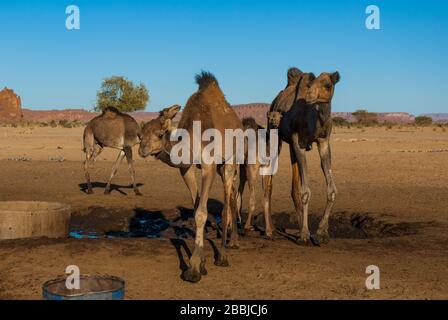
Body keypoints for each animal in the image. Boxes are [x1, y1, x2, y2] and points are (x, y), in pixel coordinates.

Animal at [140, 72, 245, 282]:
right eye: (140, 134)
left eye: (159, 134)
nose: (142, 149)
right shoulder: (186, 169)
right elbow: (197, 207)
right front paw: (202, 262)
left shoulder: (208, 166)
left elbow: (201, 213)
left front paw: (194, 268)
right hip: (222, 166)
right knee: (231, 197)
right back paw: (233, 242)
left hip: (230, 161)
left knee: (226, 207)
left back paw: (223, 255)